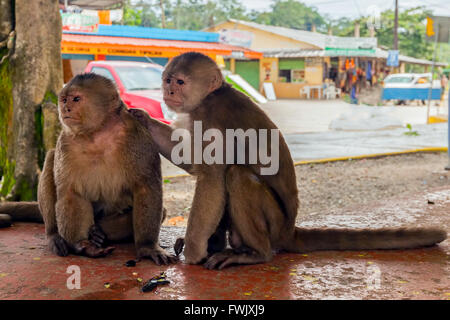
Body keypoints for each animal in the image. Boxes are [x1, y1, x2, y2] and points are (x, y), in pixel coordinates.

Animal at [0, 73, 178, 264]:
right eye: (64, 100)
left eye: (76, 99)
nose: (66, 108)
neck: (97, 134)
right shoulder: (67, 142)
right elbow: (72, 192)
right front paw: (83, 245)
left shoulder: (137, 138)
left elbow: (146, 188)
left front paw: (147, 247)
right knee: (51, 158)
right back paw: (57, 235)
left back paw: (100, 233)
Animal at [130, 50, 446, 270]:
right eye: (167, 80)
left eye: (180, 82)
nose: (168, 91)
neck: (210, 97)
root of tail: (289, 230)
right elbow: (194, 162)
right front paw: (142, 118)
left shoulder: (210, 116)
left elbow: (210, 177)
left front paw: (195, 252)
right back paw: (221, 244)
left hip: (275, 223)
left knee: (236, 175)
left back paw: (256, 254)